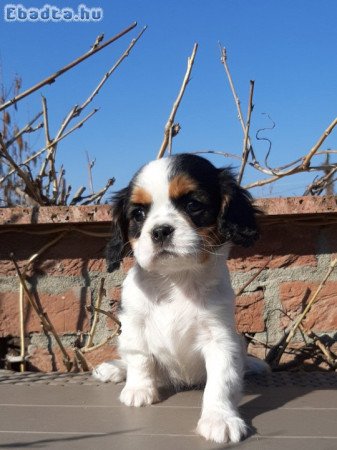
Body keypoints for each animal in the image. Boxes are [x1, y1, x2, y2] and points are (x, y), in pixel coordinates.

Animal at [94, 154, 260, 442]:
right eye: (138, 214)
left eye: (193, 204)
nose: (160, 230)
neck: (175, 279)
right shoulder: (134, 324)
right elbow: (139, 357)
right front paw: (139, 390)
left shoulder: (220, 338)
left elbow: (222, 380)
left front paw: (220, 418)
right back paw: (114, 369)